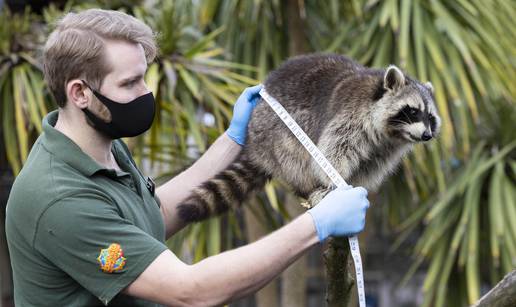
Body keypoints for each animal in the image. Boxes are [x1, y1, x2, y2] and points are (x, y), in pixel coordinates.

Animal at [177, 53, 440, 224]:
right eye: (413, 111)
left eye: (430, 117)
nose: (427, 135)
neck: (389, 132)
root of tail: (255, 146)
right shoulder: (351, 115)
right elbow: (335, 148)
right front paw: (335, 183)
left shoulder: (385, 147)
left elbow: (370, 164)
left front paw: (355, 184)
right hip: (273, 129)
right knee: (293, 153)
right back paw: (306, 185)